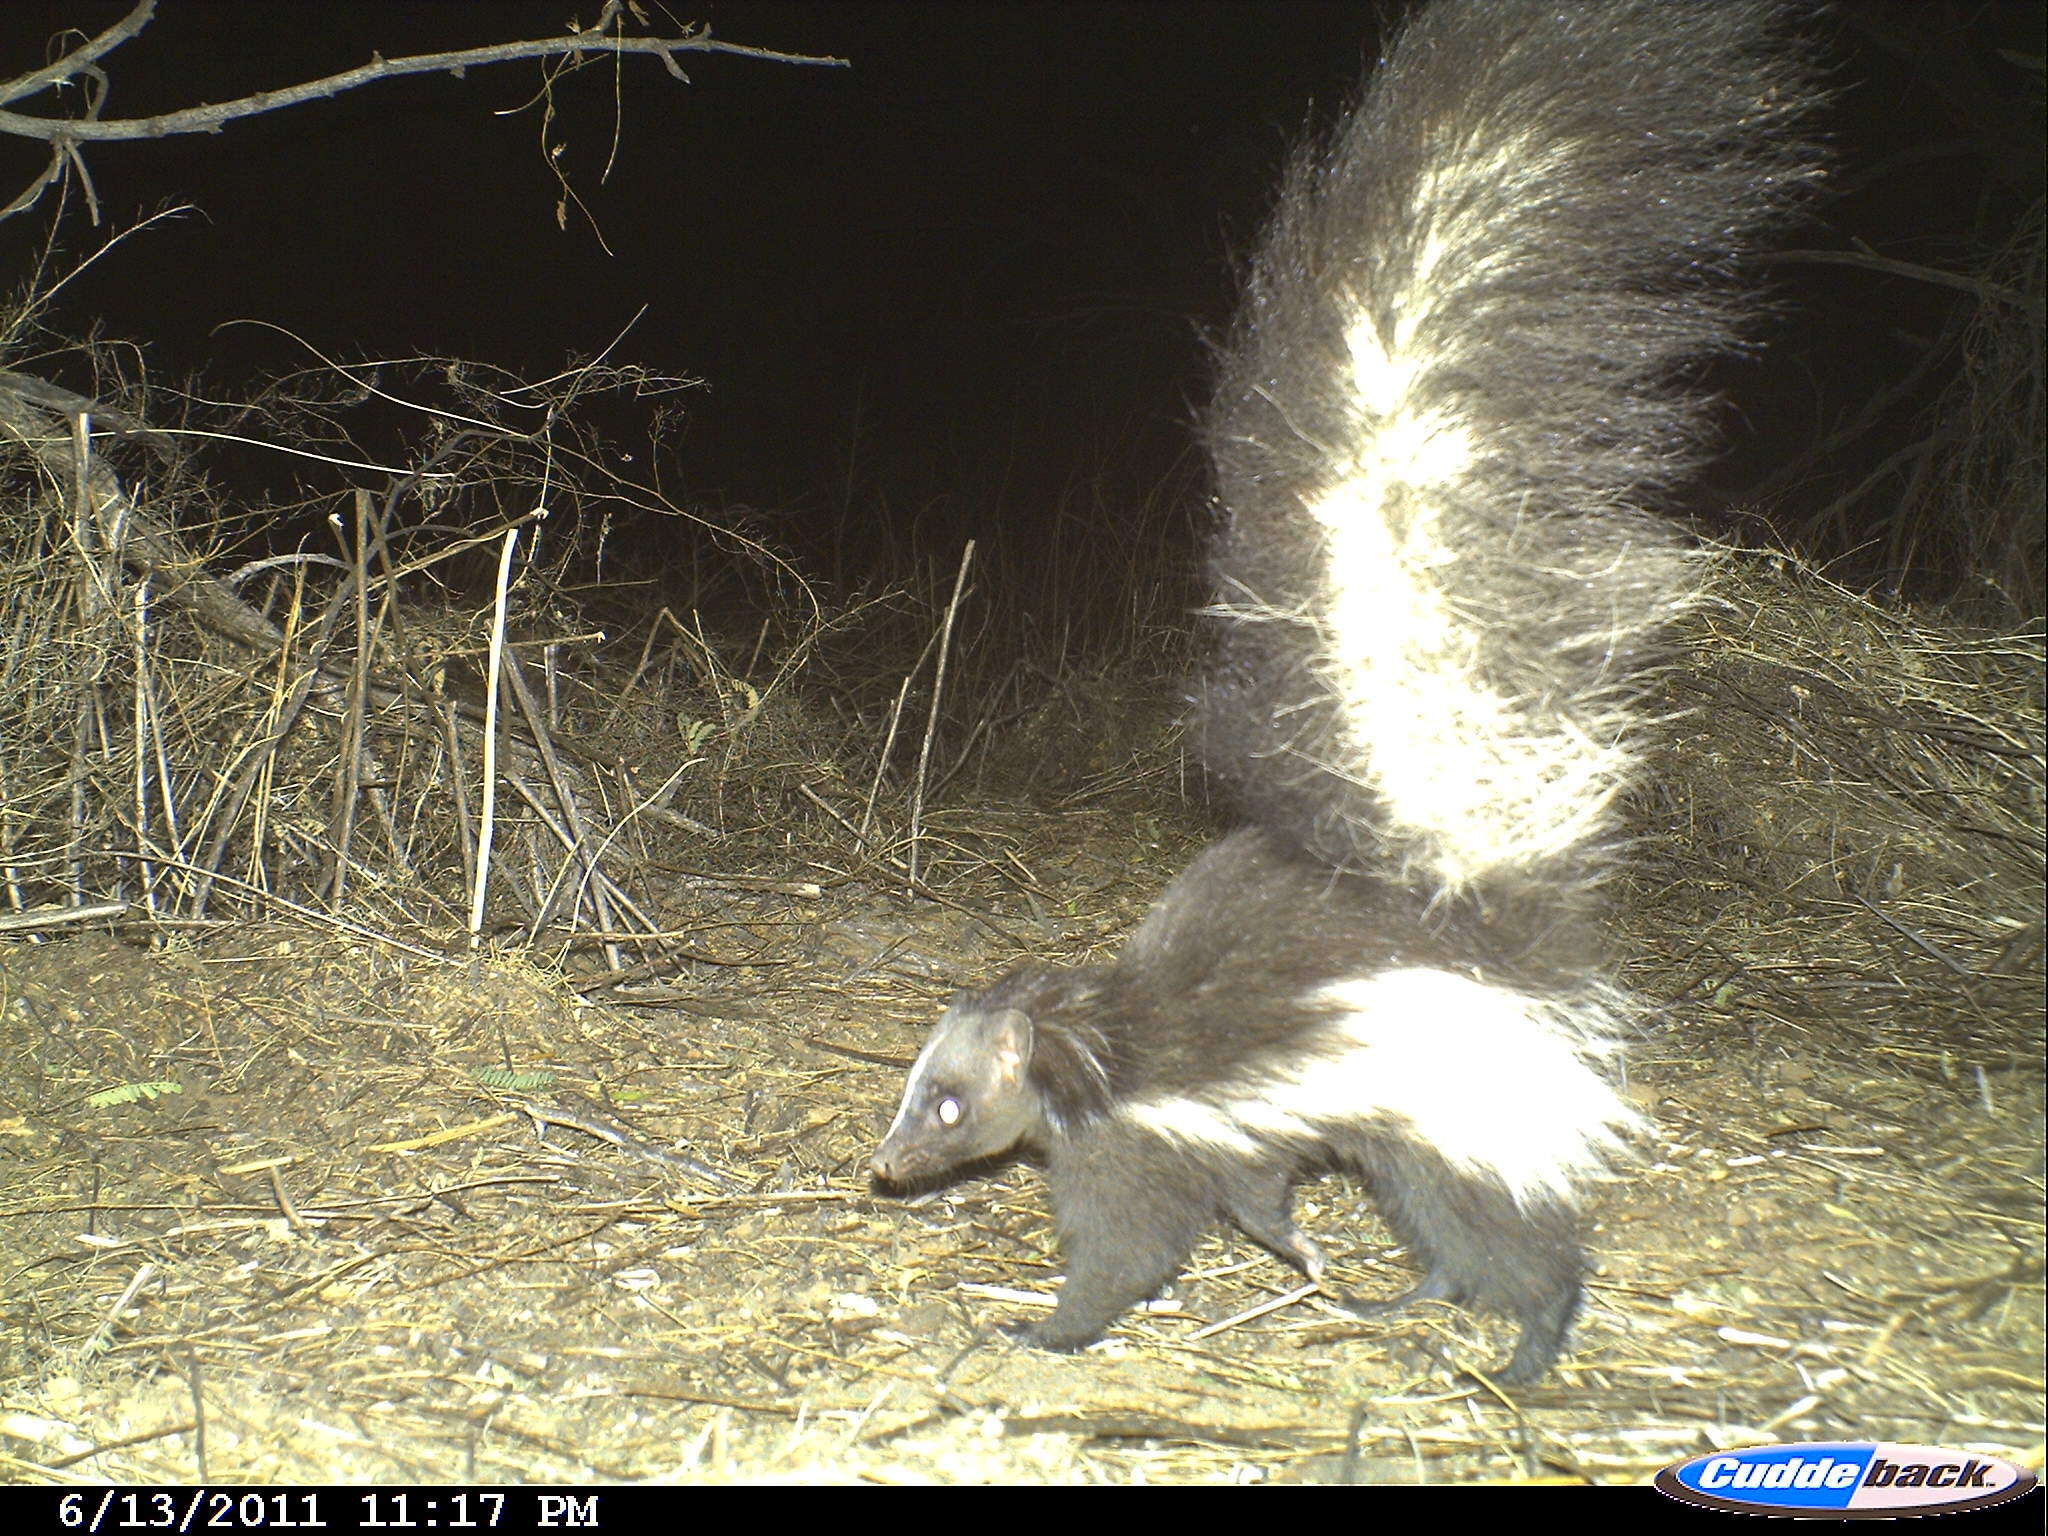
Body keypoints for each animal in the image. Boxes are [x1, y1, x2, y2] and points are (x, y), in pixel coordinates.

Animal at [872, 0, 1818, 1392]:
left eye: (947, 1101)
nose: (886, 1166)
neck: (1101, 1044)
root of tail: (1476, 917)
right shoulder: (1229, 1132)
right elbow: (1254, 1203)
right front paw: (1303, 1261)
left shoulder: (1155, 1131)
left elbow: (1132, 1243)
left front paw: (1043, 1326)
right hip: (1412, 1123)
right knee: (1442, 1232)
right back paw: (1401, 1298)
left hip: (1456, 1102)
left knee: (1510, 1236)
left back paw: (1525, 1352)